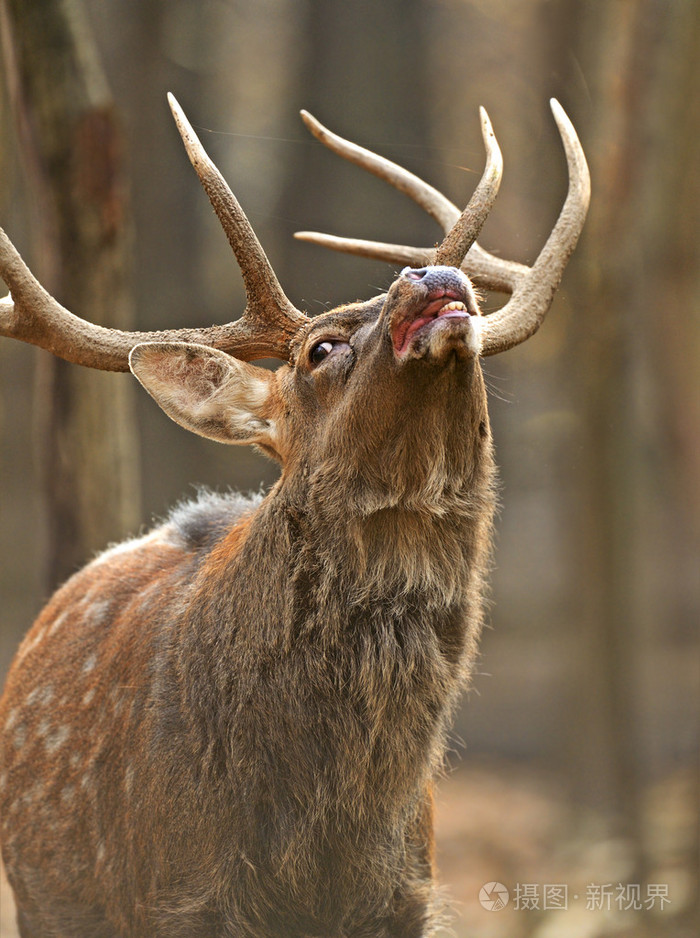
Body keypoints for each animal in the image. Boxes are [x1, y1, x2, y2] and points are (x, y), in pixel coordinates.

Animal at [0, 97, 592, 936]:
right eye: (320, 348)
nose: (429, 274)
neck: (319, 847)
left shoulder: (407, 895)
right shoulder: (178, 894)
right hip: (46, 901)